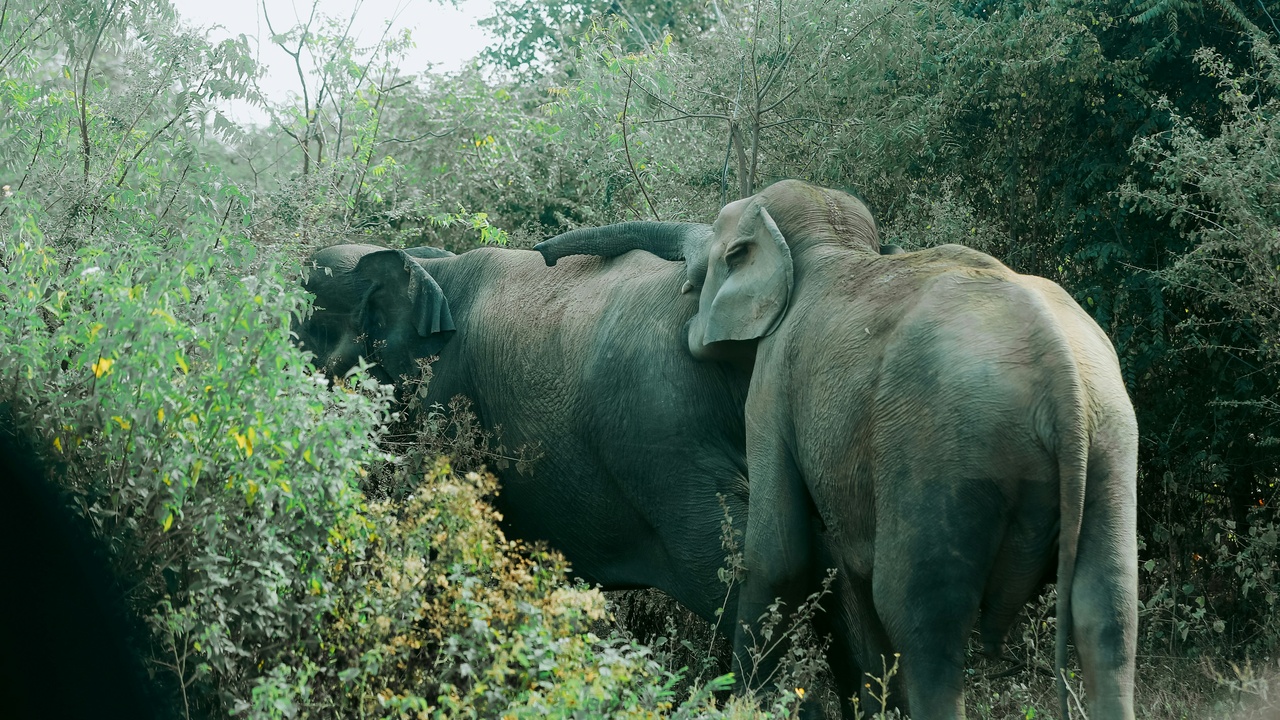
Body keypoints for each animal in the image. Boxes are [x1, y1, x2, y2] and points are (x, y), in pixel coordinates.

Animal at [534, 179, 1139, 720]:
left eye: (712, 262)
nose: (543, 257)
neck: (832, 245)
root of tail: (1058, 369)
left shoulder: (773, 379)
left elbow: (776, 554)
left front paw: (747, 704)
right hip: (1110, 440)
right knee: (1107, 615)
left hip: (942, 452)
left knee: (922, 617)